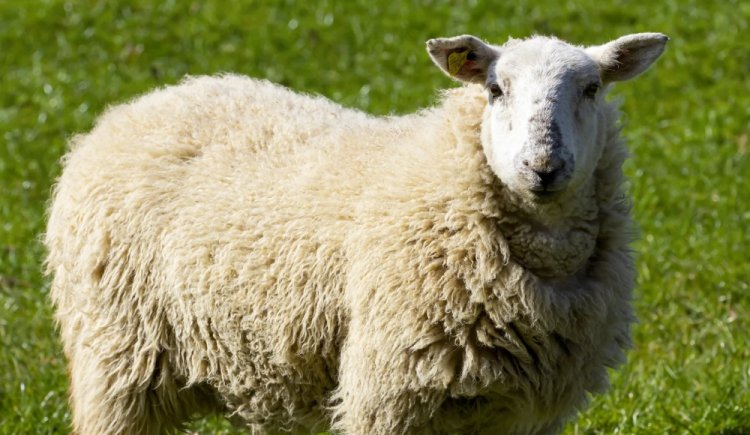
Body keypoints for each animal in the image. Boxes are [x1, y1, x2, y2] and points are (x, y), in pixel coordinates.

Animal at [45, 32, 668, 434]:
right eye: (495, 89)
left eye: (591, 89)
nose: (543, 166)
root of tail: (132, 109)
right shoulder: (389, 390)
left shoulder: (514, 412)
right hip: (116, 353)